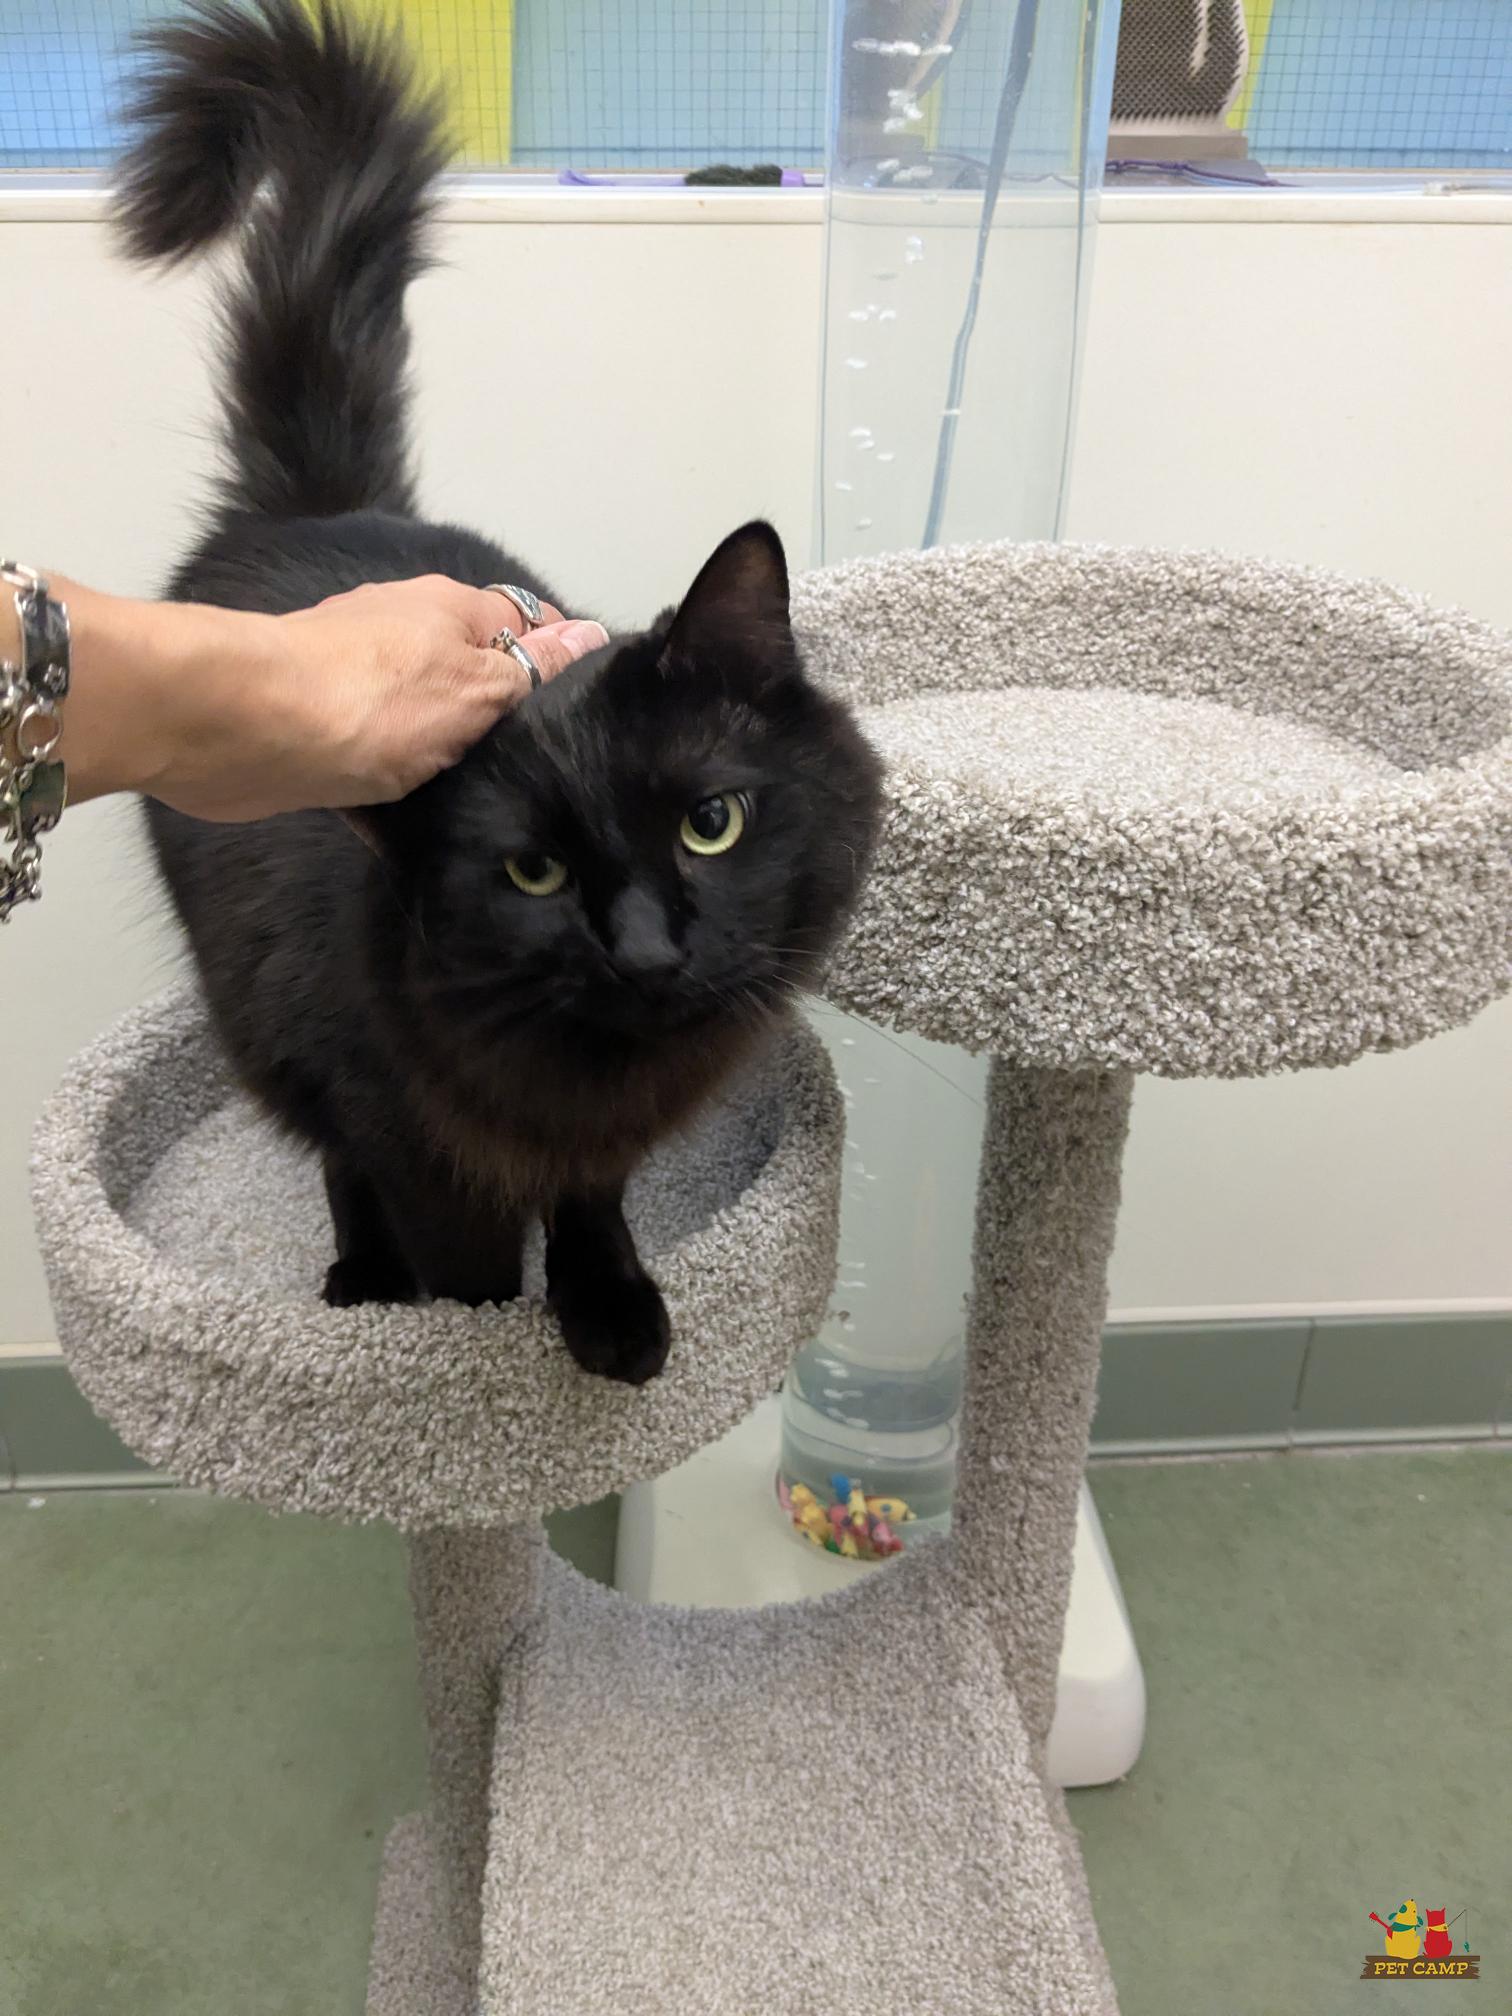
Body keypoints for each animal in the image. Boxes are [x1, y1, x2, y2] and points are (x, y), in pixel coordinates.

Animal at [116, 0, 883, 1386]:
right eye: (532, 873)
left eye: (712, 823)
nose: (646, 949)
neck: (585, 1074)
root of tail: (315, 503)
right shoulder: (406, 1122)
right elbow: (454, 1247)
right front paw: (470, 1365)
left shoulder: (595, 1145)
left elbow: (592, 1205)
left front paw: (611, 1310)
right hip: (264, 1020)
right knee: (335, 1168)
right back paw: (364, 1286)